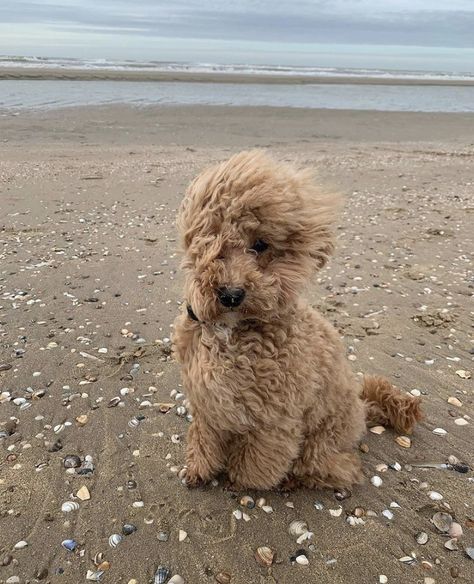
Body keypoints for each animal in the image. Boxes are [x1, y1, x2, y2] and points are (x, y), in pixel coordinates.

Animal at [173, 148, 422, 490]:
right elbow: (203, 439)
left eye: (260, 245)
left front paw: (241, 482)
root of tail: (362, 407)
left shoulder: (275, 418)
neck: (232, 331)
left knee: (329, 464)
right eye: (213, 239)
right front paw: (199, 469)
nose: (231, 295)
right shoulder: (206, 401)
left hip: (324, 432)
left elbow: (254, 464)